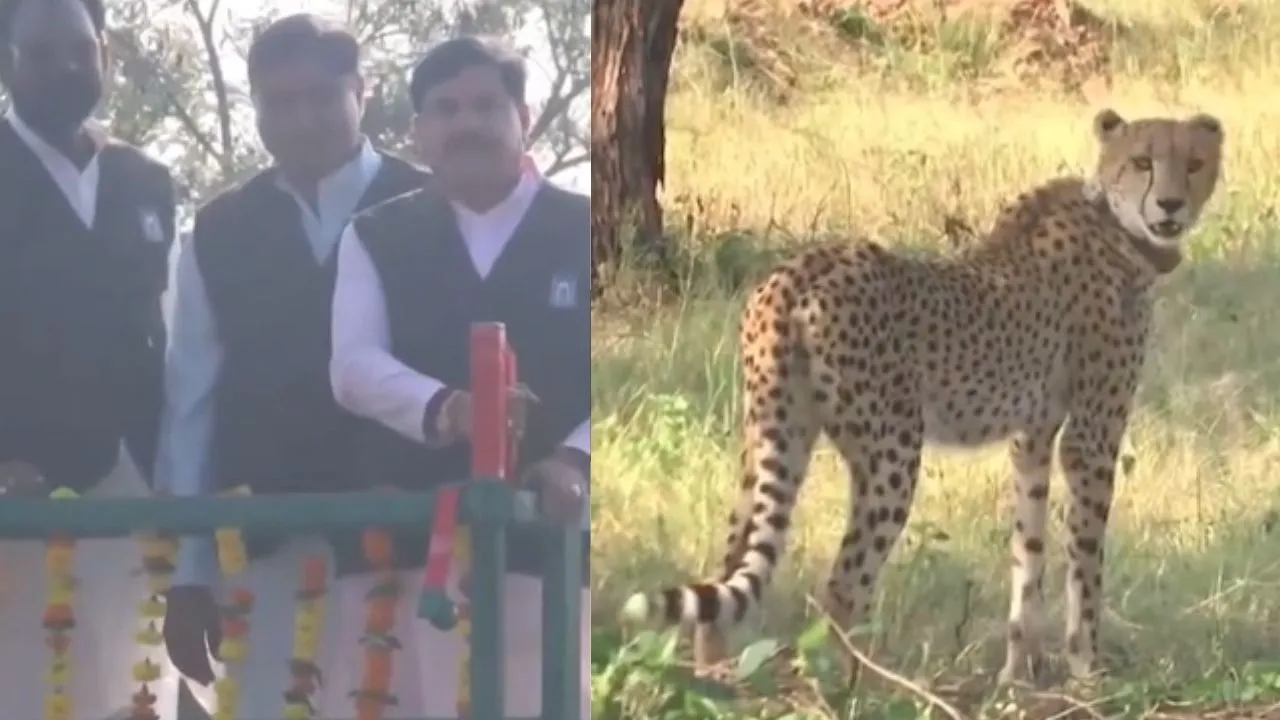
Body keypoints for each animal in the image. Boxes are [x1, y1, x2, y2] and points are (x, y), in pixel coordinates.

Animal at [622, 108, 1225, 684]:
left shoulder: (1031, 437)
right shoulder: (1091, 436)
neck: (1115, 221)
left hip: (774, 436)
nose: (1171, 204)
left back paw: (718, 676)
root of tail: (797, 272)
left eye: (1194, 163)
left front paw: (1017, 672)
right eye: (1143, 161)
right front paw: (1086, 669)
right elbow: (1085, 559)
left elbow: (1027, 553)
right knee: (843, 585)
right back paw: (858, 686)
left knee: (729, 564)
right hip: (890, 453)